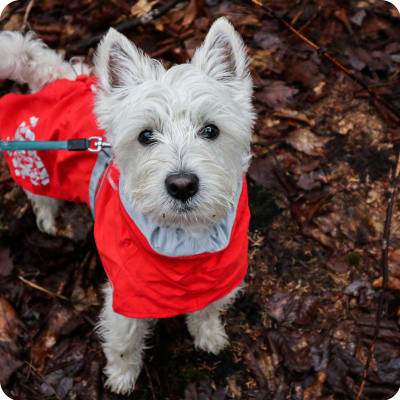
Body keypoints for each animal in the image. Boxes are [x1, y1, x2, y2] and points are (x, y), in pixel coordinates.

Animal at [0, 18, 255, 394]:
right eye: (146, 135)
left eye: (211, 130)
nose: (182, 185)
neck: (185, 240)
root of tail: (59, 76)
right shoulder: (126, 294)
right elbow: (125, 340)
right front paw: (121, 376)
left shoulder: (222, 274)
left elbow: (207, 310)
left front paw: (209, 335)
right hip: (36, 165)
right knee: (40, 198)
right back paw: (49, 221)